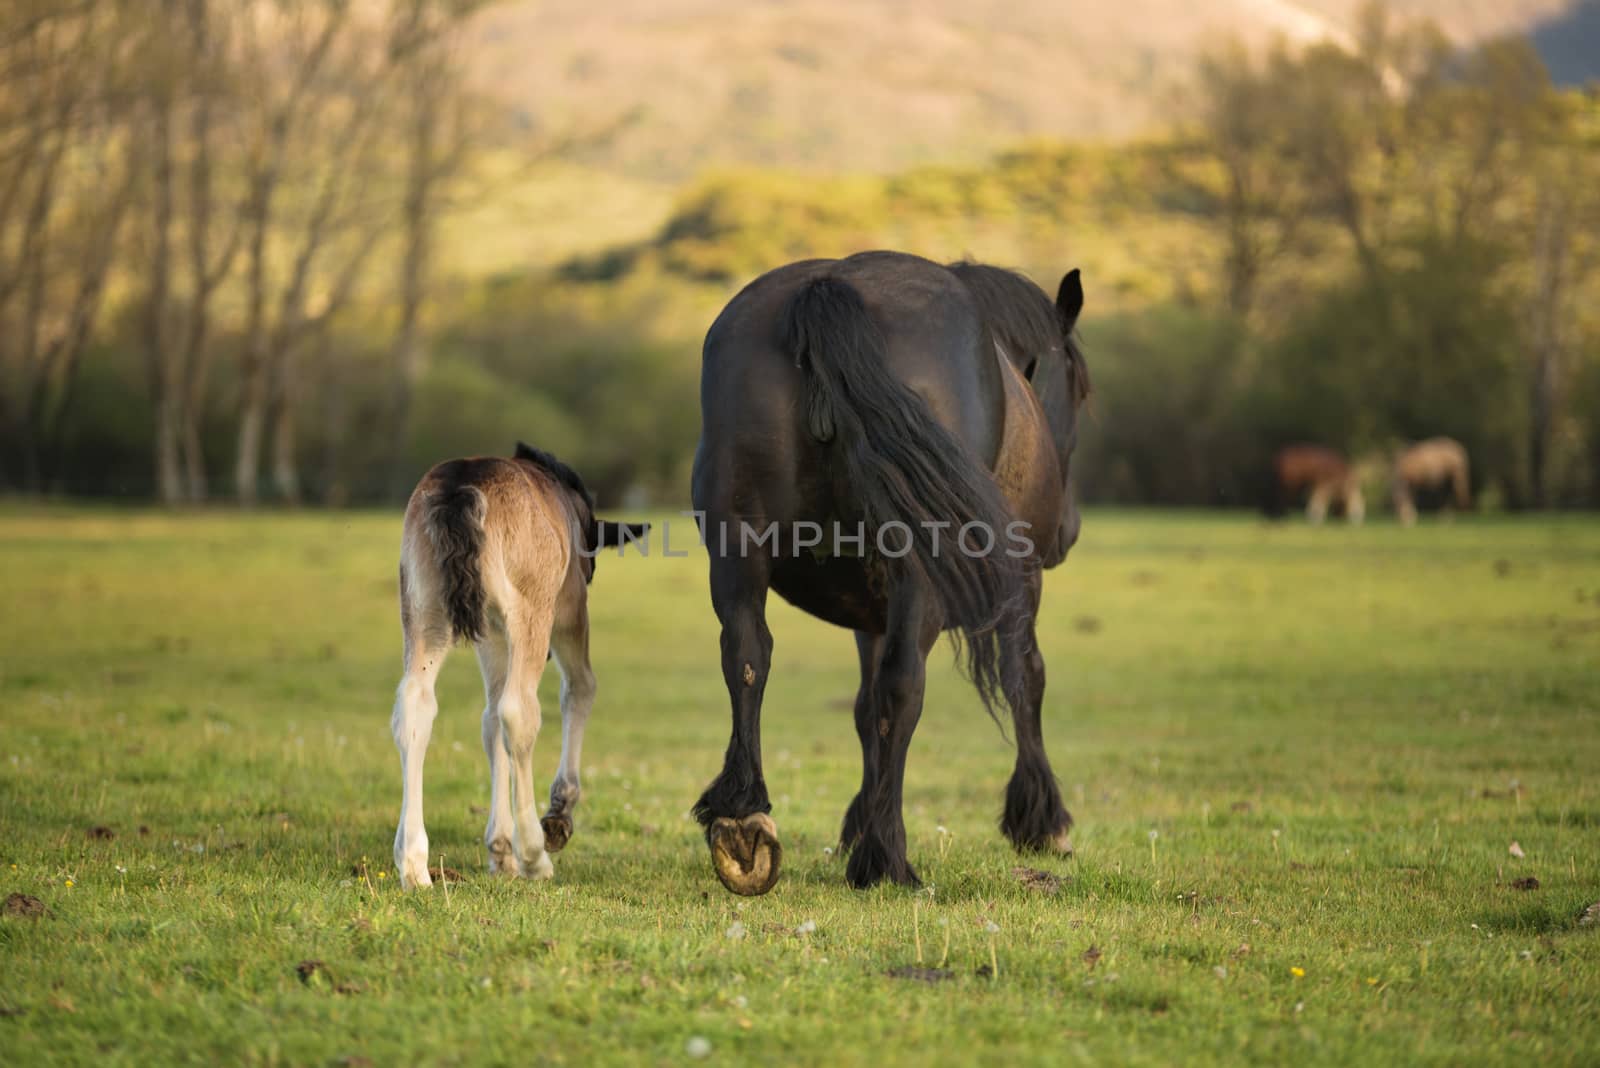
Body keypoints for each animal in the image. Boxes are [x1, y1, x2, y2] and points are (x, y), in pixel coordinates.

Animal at [395, 438, 649, 888]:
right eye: (591, 564)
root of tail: (462, 484)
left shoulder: (492, 634)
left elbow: (489, 720)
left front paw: (500, 851)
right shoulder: (569, 608)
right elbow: (580, 687)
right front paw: (555, 820)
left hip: (424, 610)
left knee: (417, 706)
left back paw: (413, 864)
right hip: (533, 613)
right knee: (519, 711)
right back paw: (534, 854)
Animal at [688, 251, 1088, 895]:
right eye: (1078, 391)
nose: (1067, 533)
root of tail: (827, 290)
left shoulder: (869, 612)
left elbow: (862, 704)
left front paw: (857, 820)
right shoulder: (1021, 585)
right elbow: (1025, 679)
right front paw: (1042, 820)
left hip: (736, 550)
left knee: (747, 656)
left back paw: (743, 822)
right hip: (924, 573)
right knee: (905, 687)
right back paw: (887, 856)